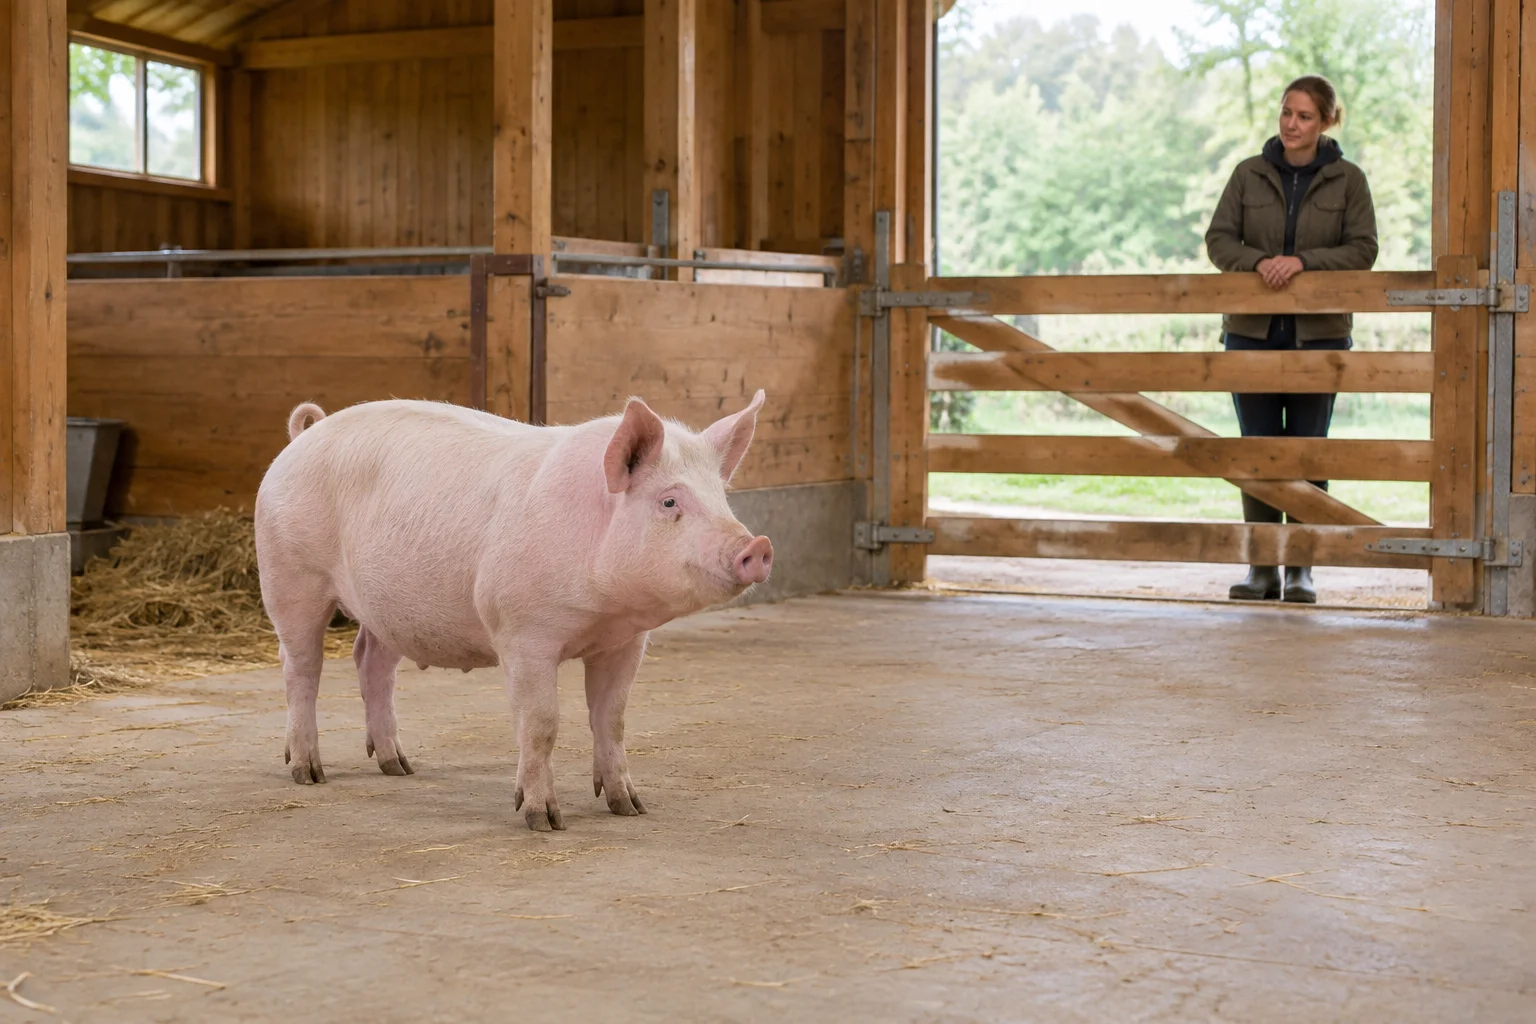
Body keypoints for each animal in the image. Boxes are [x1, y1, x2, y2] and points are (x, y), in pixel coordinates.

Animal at [254, 393, 773, 831]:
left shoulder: (626, 642)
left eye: (721, 498)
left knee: (371, 662)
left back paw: (398, 766)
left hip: (386, 605)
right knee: (300, 667)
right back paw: (308, 772)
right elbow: (541, 723)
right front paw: (544, 820)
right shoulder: (522, 632)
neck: (602, 608)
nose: (758, 546)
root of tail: (303, 436)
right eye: (669, 501)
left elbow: (613, 718)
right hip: (289, 576)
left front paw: (631, 807)